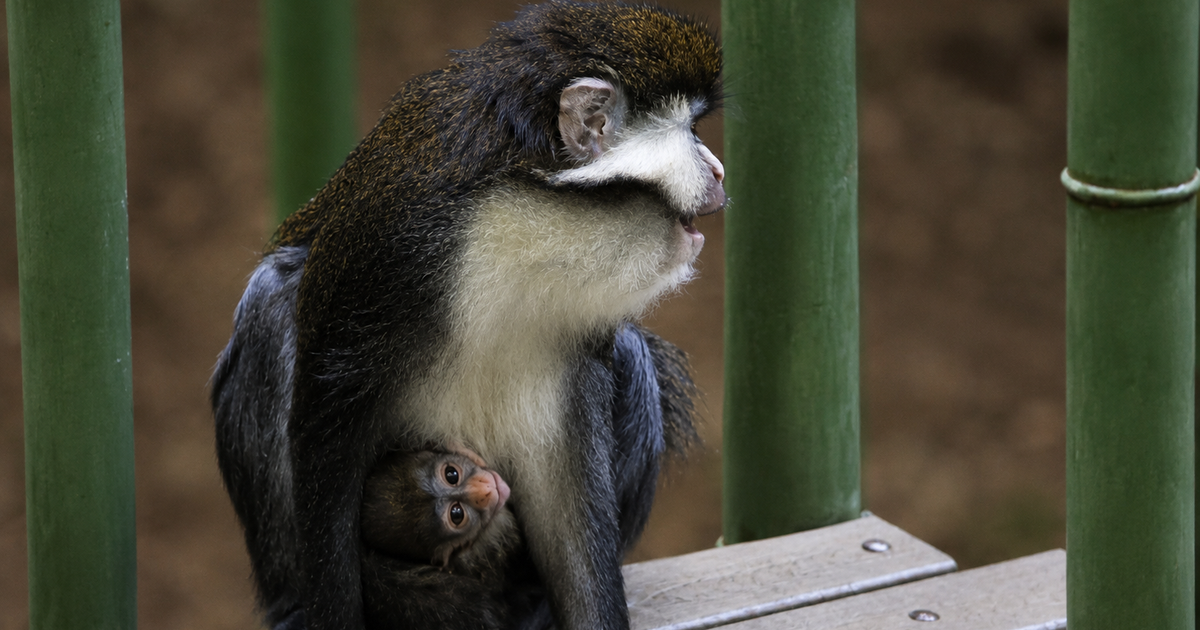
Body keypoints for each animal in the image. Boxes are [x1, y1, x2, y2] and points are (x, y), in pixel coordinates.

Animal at [210, 3, 721, 630]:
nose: (719, 171)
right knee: (270, 300)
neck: (521, 224)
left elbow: (570, 510)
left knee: (633, 354)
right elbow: (325, 440)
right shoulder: (385, 253)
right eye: (692, 132)